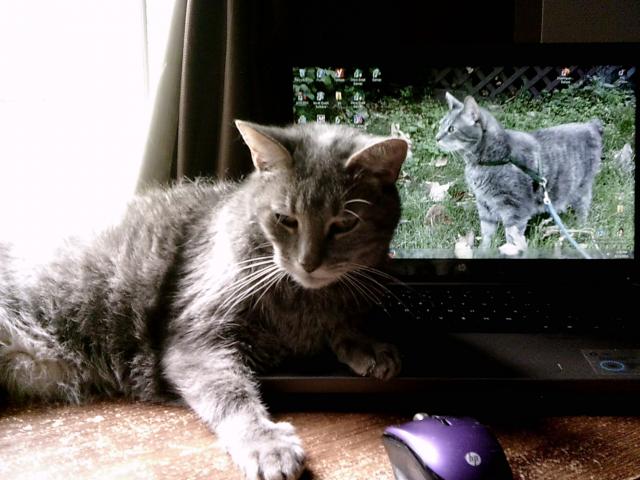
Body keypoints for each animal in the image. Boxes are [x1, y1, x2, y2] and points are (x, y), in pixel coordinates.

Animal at [0, 122, 408, 480]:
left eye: (345, 224)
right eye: (285, 219)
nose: (308, 263)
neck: (303, 298)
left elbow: (344, 323)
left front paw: (367, 343)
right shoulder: (196, 340)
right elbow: (234, 396)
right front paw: (265, 442)